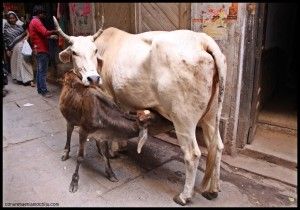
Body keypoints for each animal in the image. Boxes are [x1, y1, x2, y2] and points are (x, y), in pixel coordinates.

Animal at [54, 16, 227, 205]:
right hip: (210, 116)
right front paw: (120, 146)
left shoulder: (107, 93)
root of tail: (202, 40)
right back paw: (213, 190)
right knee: (217, 146)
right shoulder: (121, 100)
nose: (92, 78)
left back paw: (184, 196)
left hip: (183, 119)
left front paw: (112, 151)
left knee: (193, 154)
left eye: (94, 51)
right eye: (74, 52)